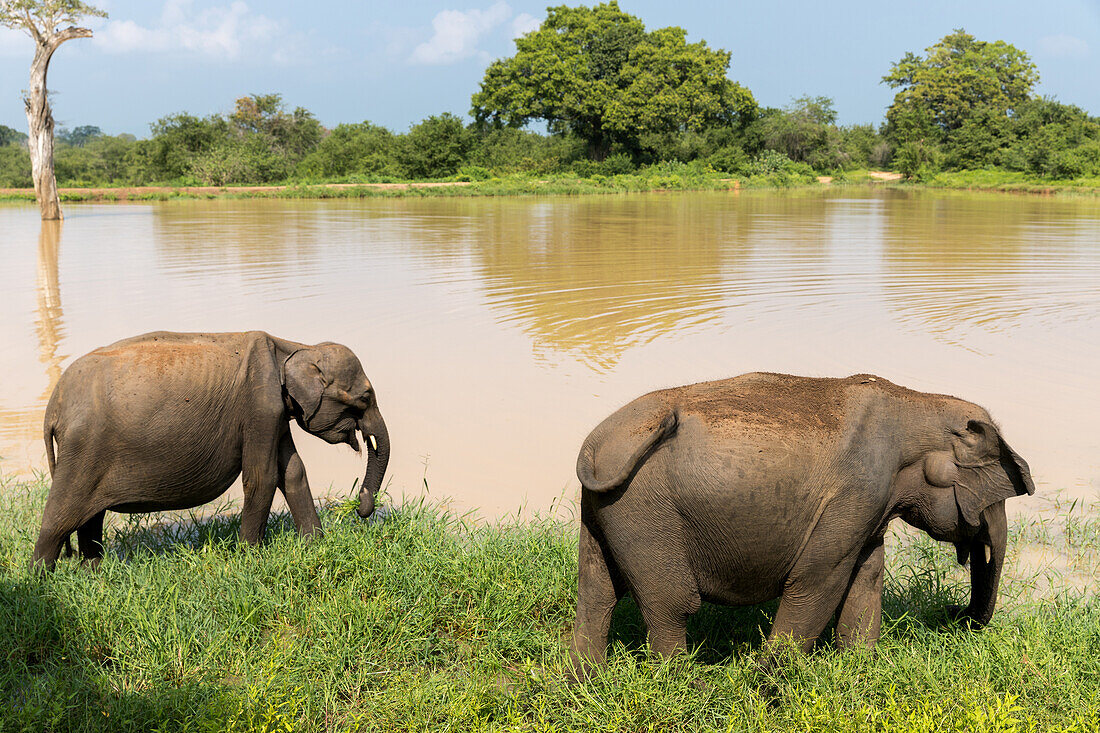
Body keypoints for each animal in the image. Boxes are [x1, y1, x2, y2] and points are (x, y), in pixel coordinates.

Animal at [33, 327, 391, 567]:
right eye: (365, 398)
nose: (360, 509)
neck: (296, 346)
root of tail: (53, 406)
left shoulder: (275, 412)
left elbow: (292, 471)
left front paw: (315, 544)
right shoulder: (260, 407)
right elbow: (262, 477)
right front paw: (248, 557)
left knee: (89, 517)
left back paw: (93, 572)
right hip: (82, 449)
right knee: (59, 519)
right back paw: (41, 580)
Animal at [572, 372, 1034, 673]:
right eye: (996, 494)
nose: (953, 614)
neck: (918, 403)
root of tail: (594, 443)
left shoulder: (869, 507)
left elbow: (866, 576)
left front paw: (857, 668)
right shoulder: (856, 493)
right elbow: (819, 581)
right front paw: (766, 682)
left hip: (607, 510)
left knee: (597, 590)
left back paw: (583, 681)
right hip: (646, 512)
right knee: (672, 604)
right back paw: (687, 686)